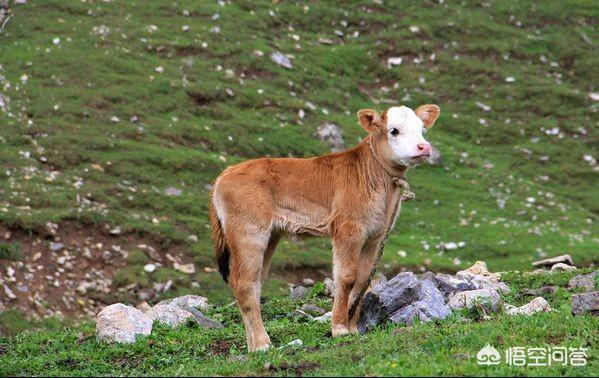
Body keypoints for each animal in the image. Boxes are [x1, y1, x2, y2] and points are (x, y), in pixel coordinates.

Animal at [211, 103, 440, 352]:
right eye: (394, 130)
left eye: (422, 129)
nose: (424, 146)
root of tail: (226, 173)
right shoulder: (348, 230)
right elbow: (347, 278)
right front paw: (339, 328)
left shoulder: (375, 236)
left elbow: (363, 280)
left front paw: (353, 328)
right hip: (249, 232)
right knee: (244, 284)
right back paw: (263, 344)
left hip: (269, 235)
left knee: (254, 283)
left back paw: (253, 346)